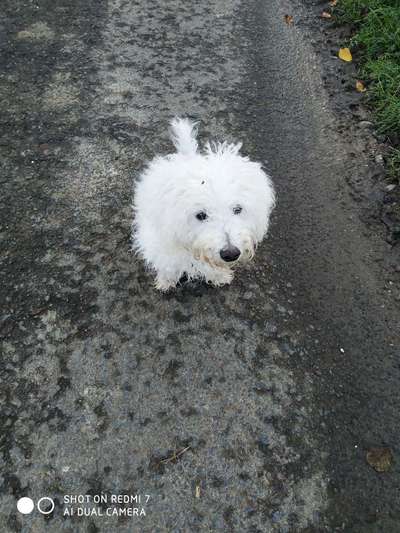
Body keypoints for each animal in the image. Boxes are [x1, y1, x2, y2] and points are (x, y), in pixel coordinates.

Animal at [131, 118, 276, 290]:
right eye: (201, 215)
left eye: (238, 209)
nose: (231, 254)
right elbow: (169, 264)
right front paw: (166, 280)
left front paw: (219, 276)